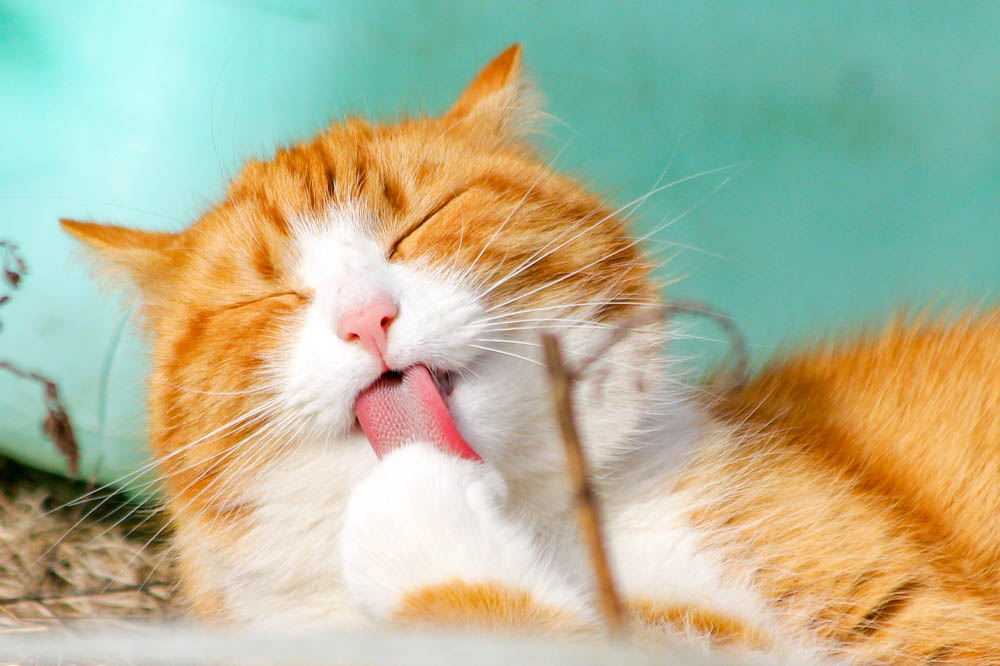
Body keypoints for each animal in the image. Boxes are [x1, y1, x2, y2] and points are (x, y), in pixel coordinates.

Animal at [62, 45, 1000, 660]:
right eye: (266, 299)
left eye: (423, 221)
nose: (367, 316)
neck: (533, 523)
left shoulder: (919, 625)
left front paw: (418, 513)